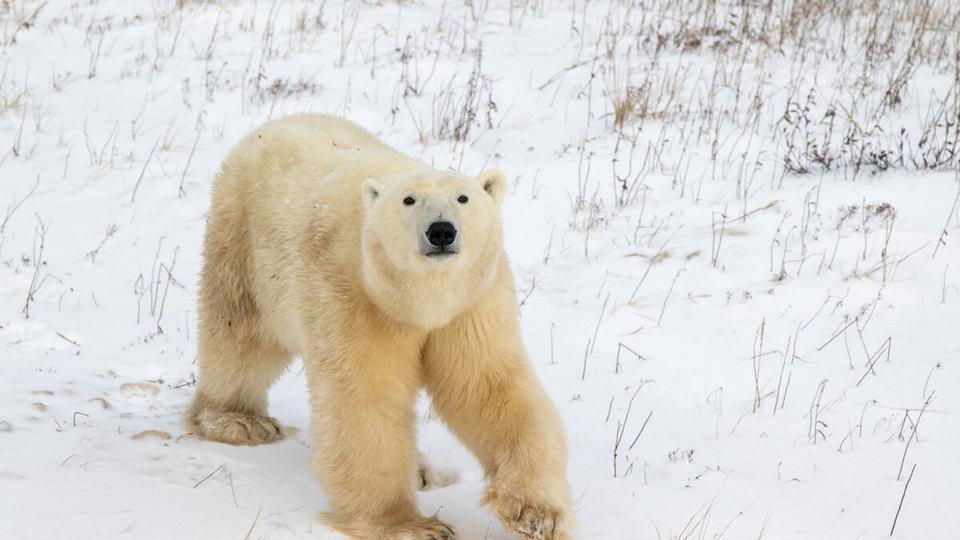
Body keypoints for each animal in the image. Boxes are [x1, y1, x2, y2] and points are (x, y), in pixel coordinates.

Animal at [185, 113, 572, 539]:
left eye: (463, 197)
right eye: (409, 200)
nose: (441, 231)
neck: (416, 300)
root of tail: (277, 123)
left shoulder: (472, 301)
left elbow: (486, 387)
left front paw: (535, 513)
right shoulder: (354, 293)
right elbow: (364, 399)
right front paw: (411, 525)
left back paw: (420, 469)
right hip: (244, 241)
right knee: (240, 337)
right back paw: (239, 420)